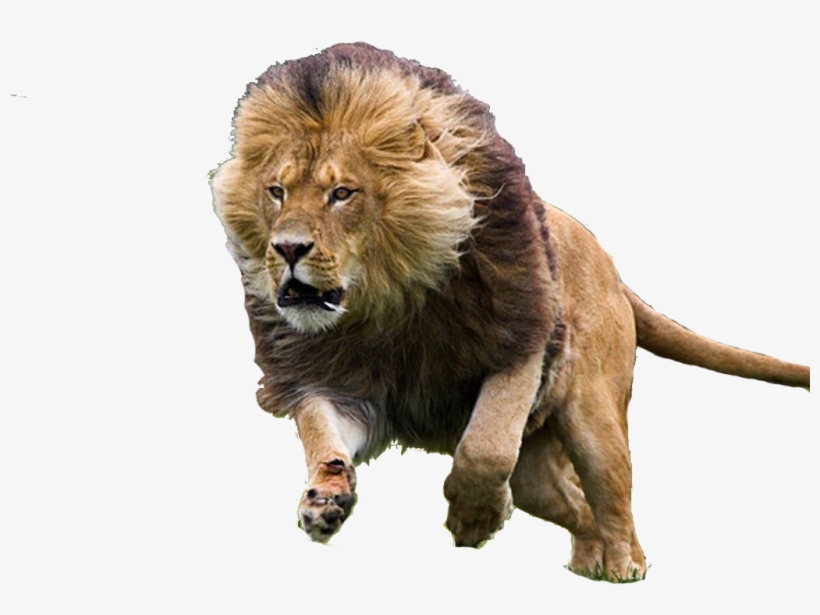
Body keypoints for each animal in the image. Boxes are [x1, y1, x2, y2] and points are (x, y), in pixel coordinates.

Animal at [210, 43, 810, 582]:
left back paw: (624, 566)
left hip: (595, 419)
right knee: (571, 502)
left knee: (612, 497)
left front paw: (477, 517)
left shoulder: (522, 343)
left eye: (342, 193)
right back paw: (587, 558)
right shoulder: (341, 383)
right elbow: (321, 435)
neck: (385, 307)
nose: (287, 248)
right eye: (276, 191)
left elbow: (486, 445)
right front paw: (324, 499)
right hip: (540, 469)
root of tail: (607, 259)